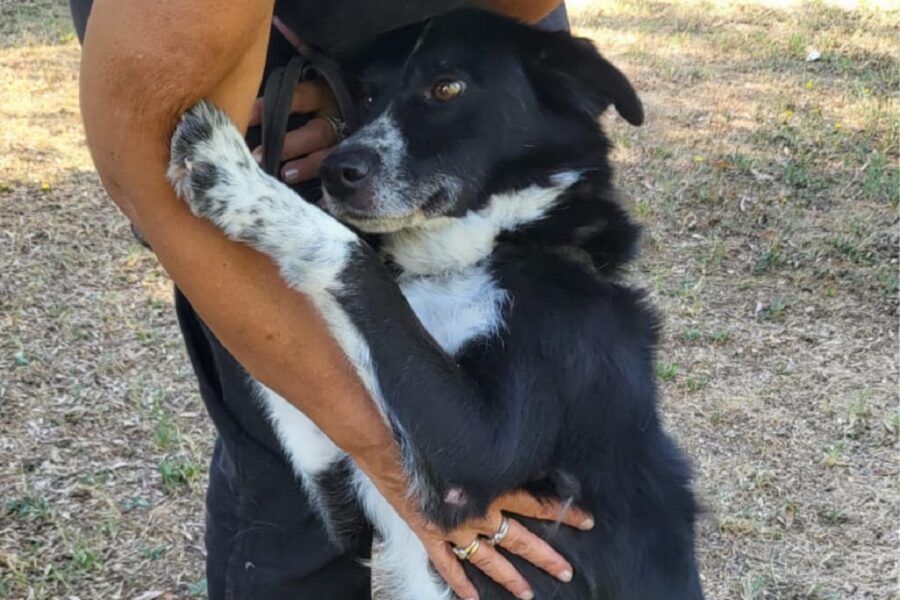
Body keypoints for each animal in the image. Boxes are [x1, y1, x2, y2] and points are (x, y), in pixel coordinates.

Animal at [167, 9, 704, 600]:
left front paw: (237, 181)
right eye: (367, 94)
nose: (334, 171)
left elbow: (356, 259)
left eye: (447, 87)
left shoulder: (480, 452)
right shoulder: (346, 490)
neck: (469, 258)